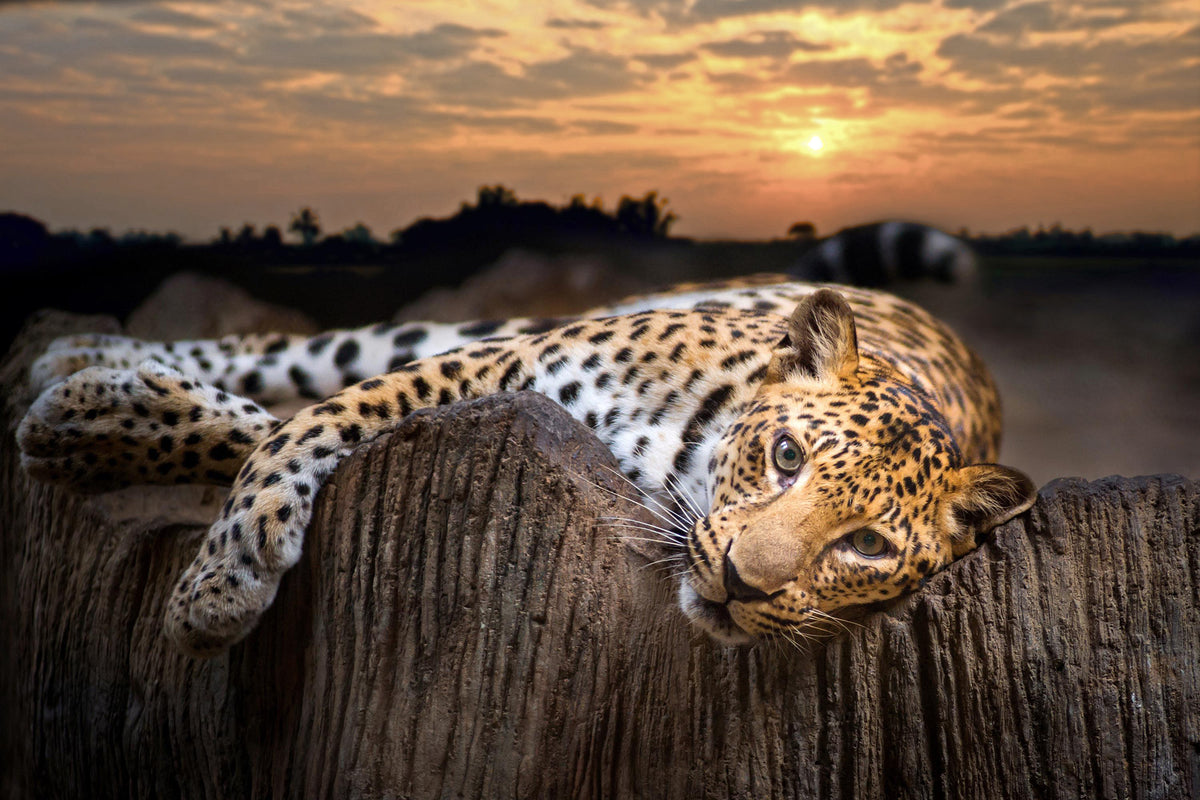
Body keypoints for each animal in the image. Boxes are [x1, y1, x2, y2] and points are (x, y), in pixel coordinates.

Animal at [16, 275, 1035, 656]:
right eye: (786, 456)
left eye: (866, 547)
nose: (745, 583)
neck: (681, 456)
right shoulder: (504, 370)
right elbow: (315, 419)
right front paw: (219, 580)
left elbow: (298, 425)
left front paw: (99, 428)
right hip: (492, 329)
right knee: (302, 359)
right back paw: (80, 358)